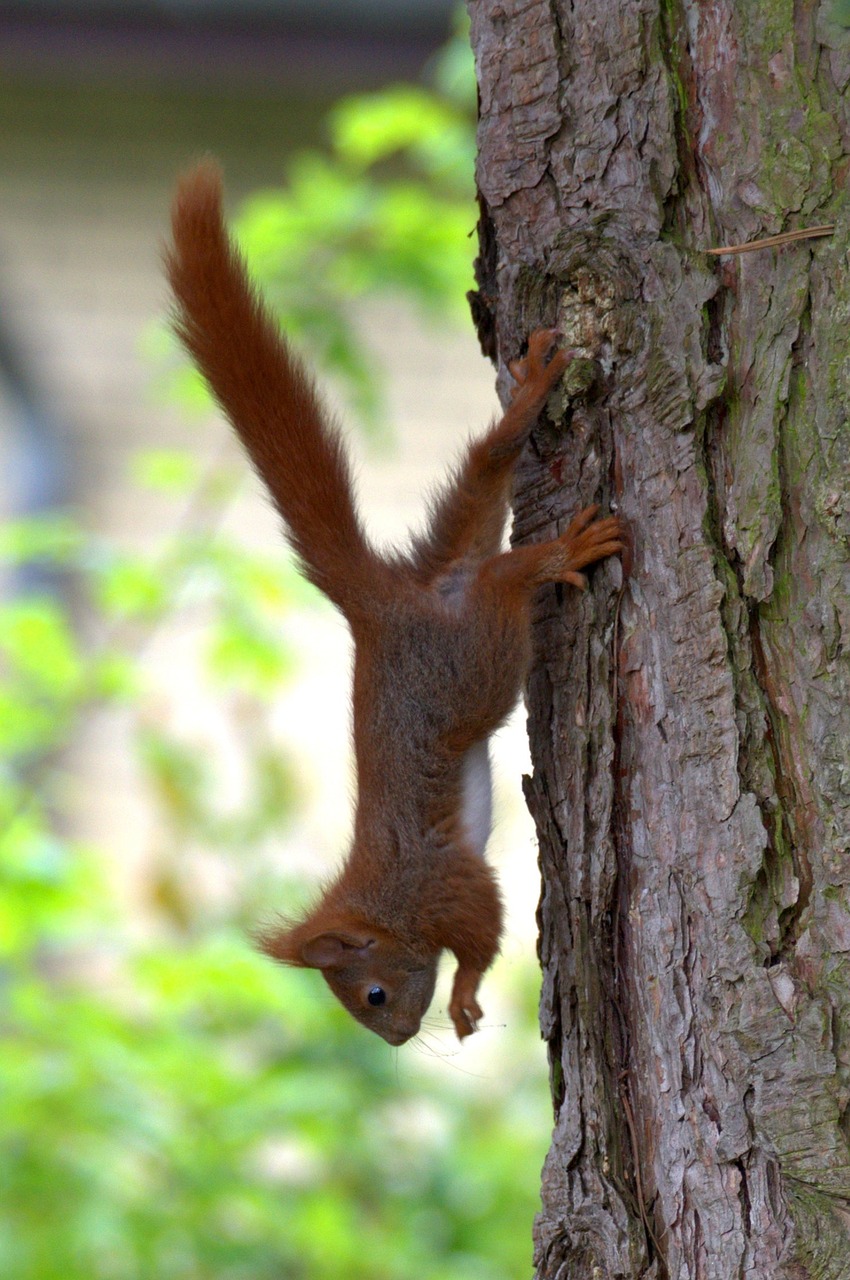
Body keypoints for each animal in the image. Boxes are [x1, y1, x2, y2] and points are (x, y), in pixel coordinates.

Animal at [166, 160, 627, 1044]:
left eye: (372, 994)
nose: (400, 1037)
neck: (387, 902)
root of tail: (382, 608)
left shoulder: (445, 884)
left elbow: (482, 933)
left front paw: (465, 996)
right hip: (464, 540)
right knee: (487, 469)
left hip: (470, 657)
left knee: (505, 579)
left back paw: (558, 536)